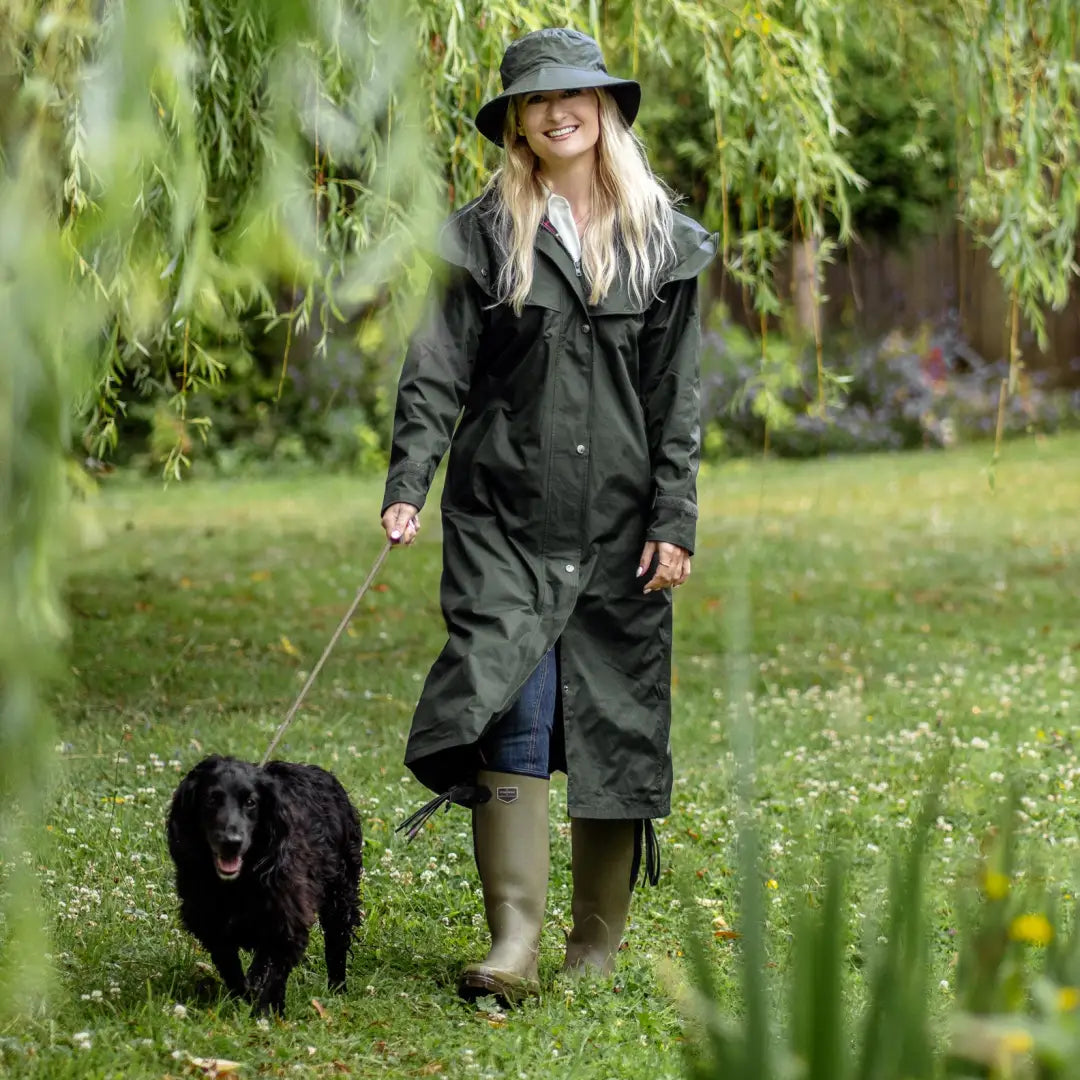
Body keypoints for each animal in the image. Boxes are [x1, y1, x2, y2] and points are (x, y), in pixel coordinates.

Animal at [165, 760, 362, 1010]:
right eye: (211, 799)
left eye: (251, 802)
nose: (231, 842)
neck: (237, 884)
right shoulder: (211, 924)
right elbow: (232, 969)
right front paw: (243, 999)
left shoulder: (287, 918)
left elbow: (274, 974)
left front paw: (266, 1012)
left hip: (341, 894)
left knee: (336, 942)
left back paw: (337, 989)